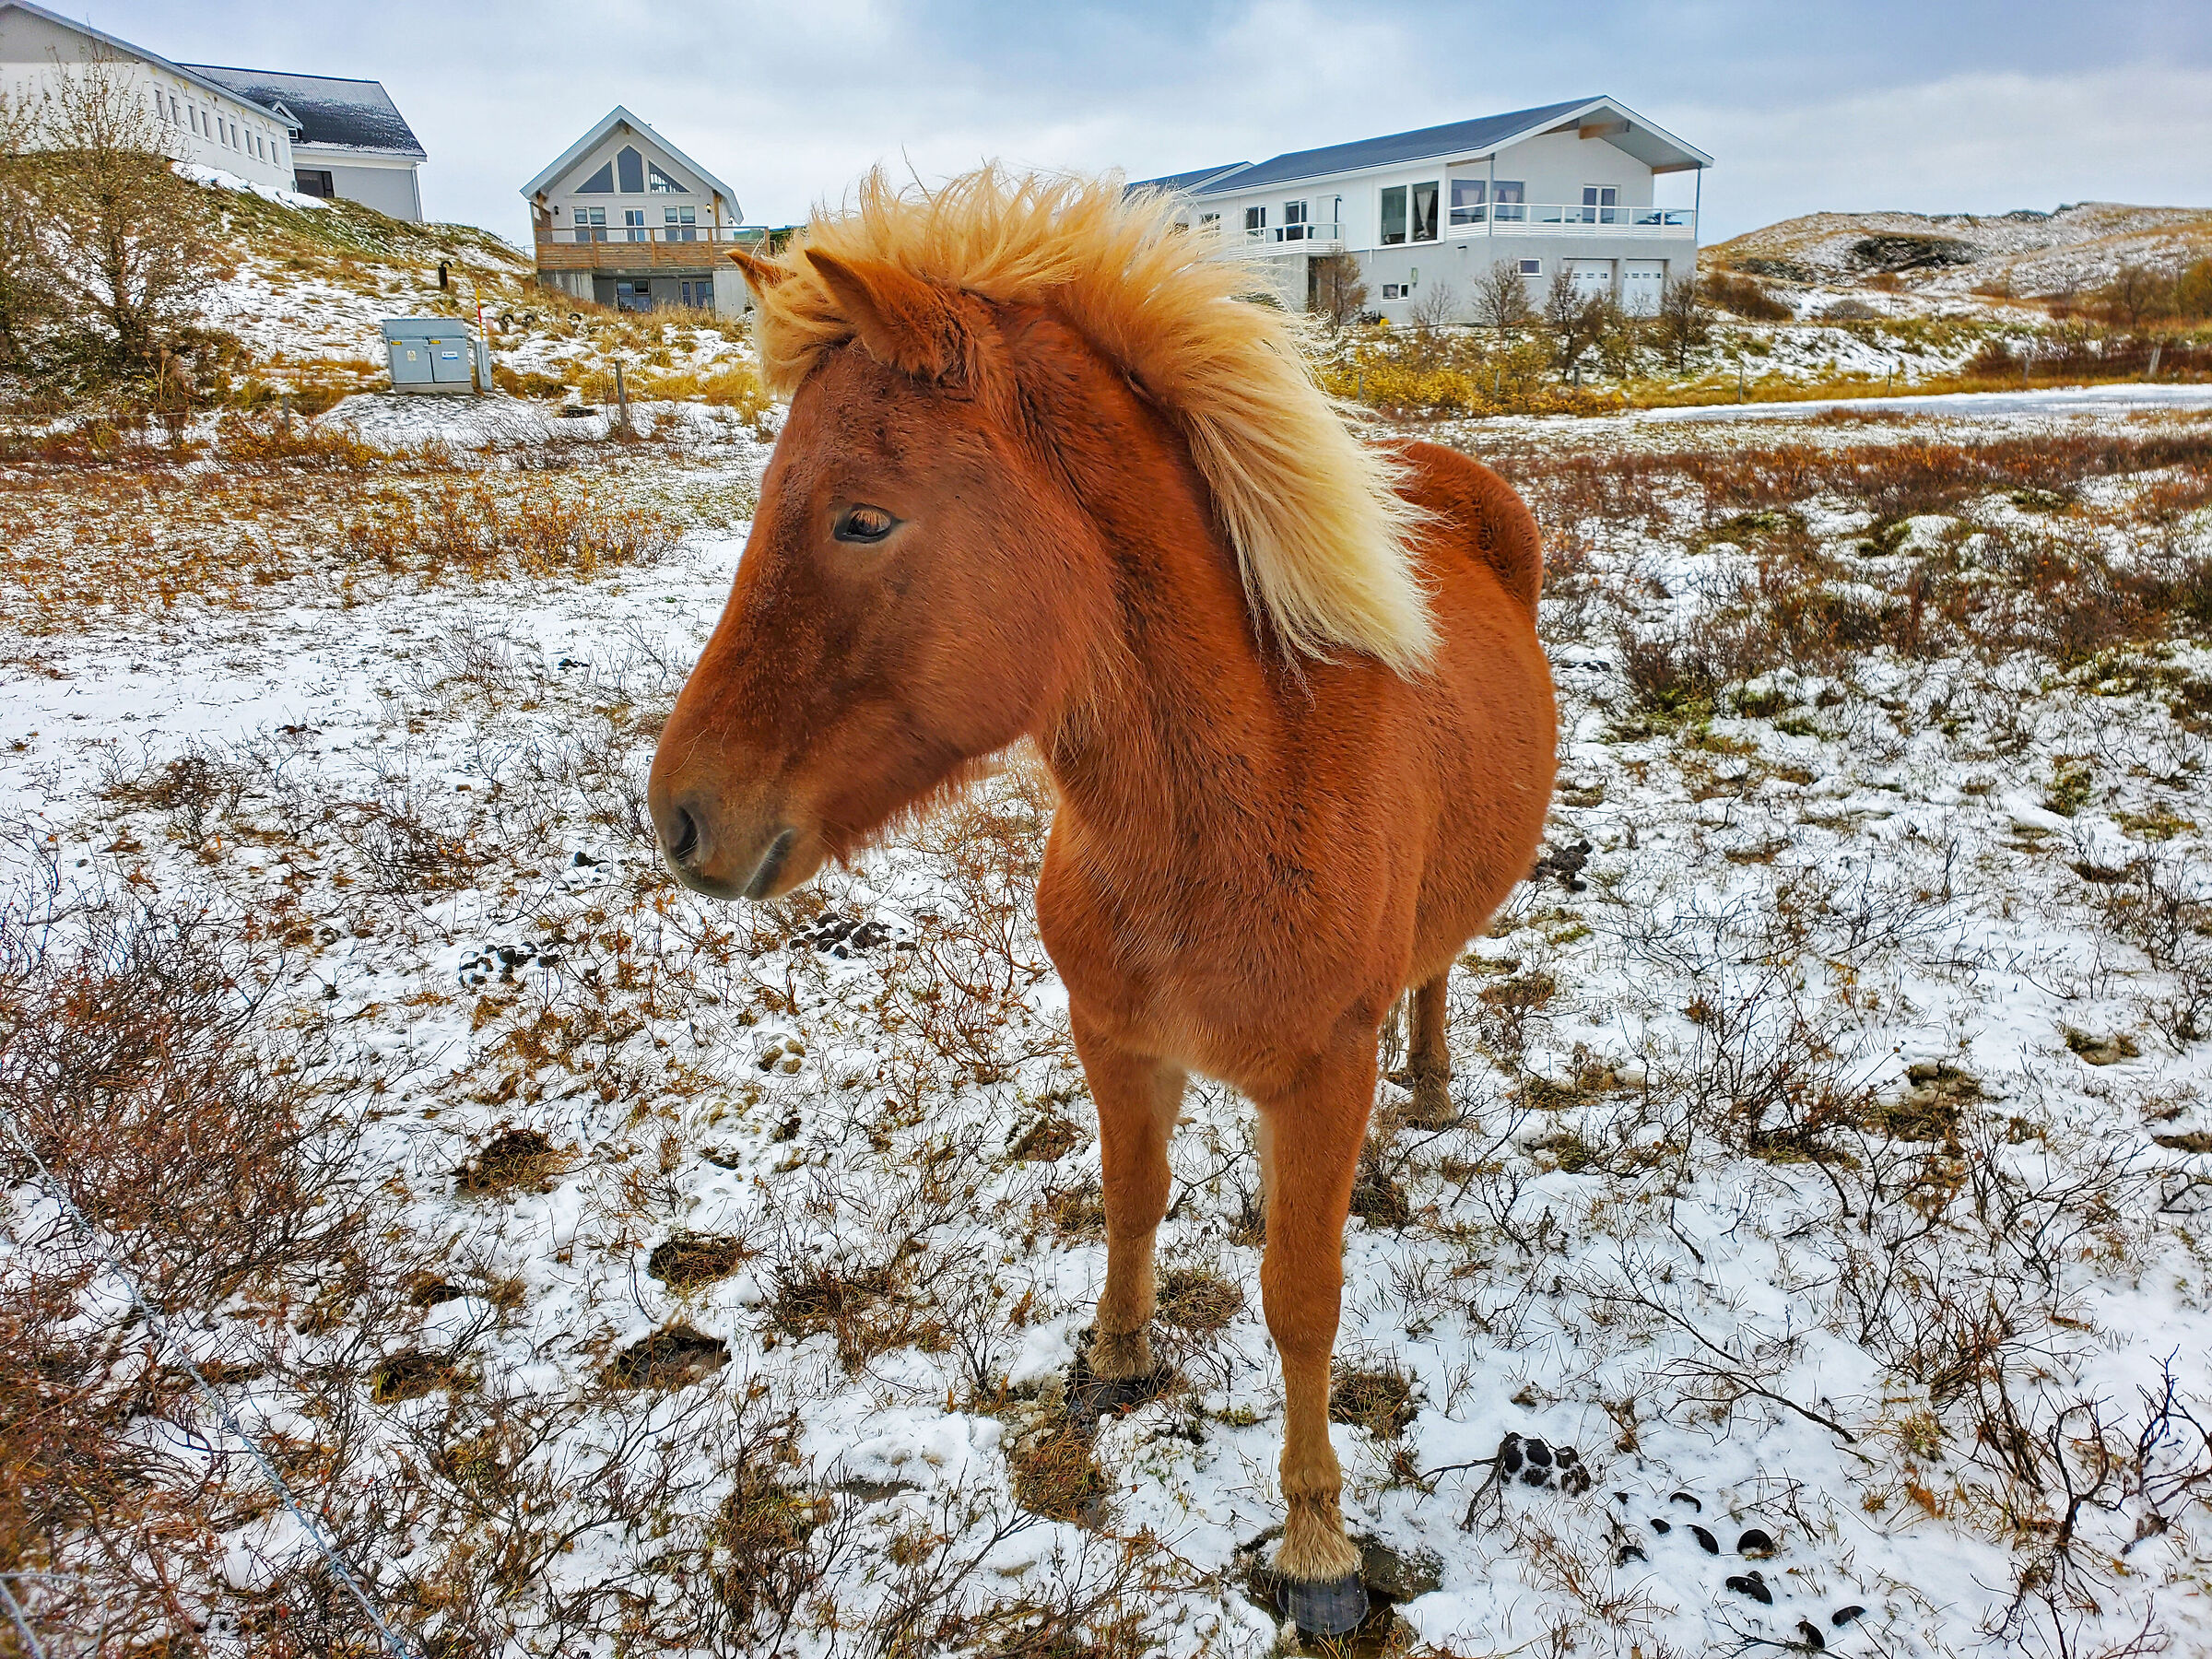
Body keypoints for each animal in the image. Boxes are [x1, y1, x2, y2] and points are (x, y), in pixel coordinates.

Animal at [647, 168, 1555, 1635]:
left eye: (862, 516)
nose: (680, 818)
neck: (1238, 803)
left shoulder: (1320, 1080)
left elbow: (1302, 1301)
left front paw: (1318, 1547)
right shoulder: (1116, 1039)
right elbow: (1133, 1200)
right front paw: (1118, 1361)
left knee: (1438, 971)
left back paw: (1429, 1083)